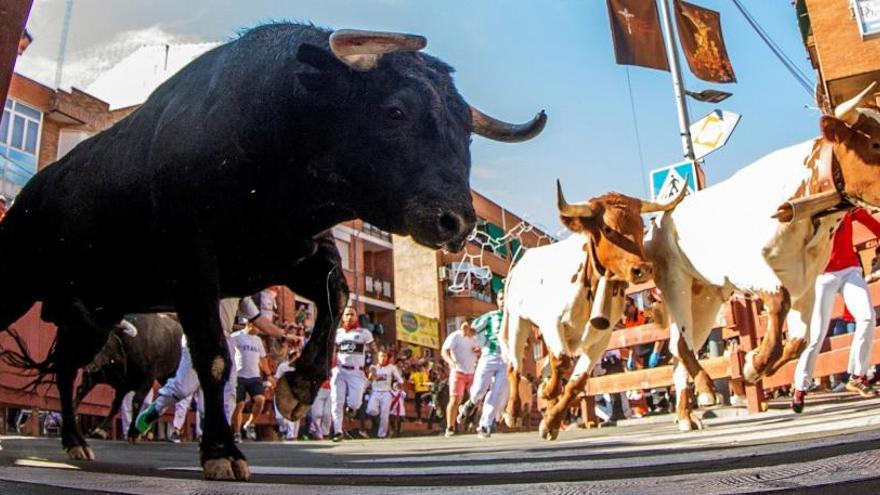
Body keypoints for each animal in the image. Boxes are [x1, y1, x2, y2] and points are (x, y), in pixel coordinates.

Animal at [75, 314, 184, 442]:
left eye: (104, 338)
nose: (86, 364)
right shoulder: (118, 382)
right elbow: (112, 403)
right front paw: (100, 430)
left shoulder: (148, 377)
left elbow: (136, 401)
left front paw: (133, 432)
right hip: (165, 378)